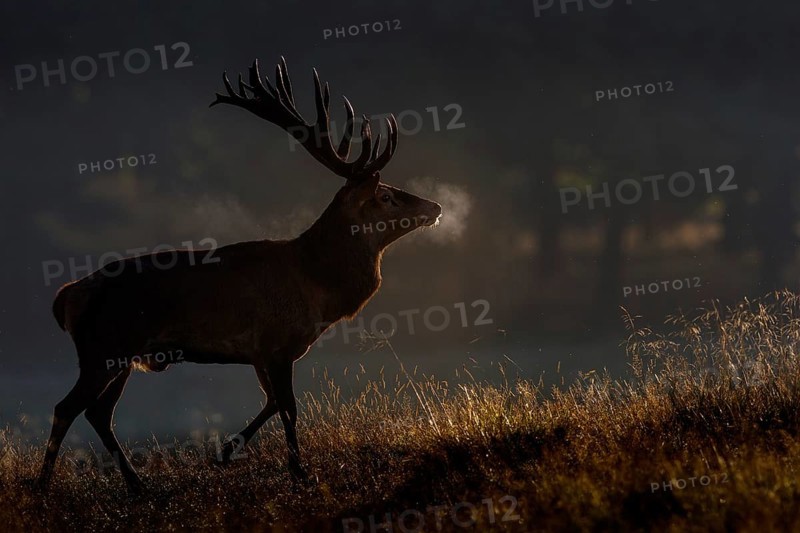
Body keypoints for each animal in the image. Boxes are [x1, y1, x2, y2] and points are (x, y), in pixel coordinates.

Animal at [36, 57, 442, 492]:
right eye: (386, 196)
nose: (435, 206)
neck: (316, 286)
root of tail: (66, 296)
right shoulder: (277, 342)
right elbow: (289, 407)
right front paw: (300, 471)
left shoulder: (260, 352)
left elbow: (272, 403)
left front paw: (226, 452)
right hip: (104, 348)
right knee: (67, 407)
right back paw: (43, 486)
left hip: (122, 356)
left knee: (98, 413)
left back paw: (137, 484)